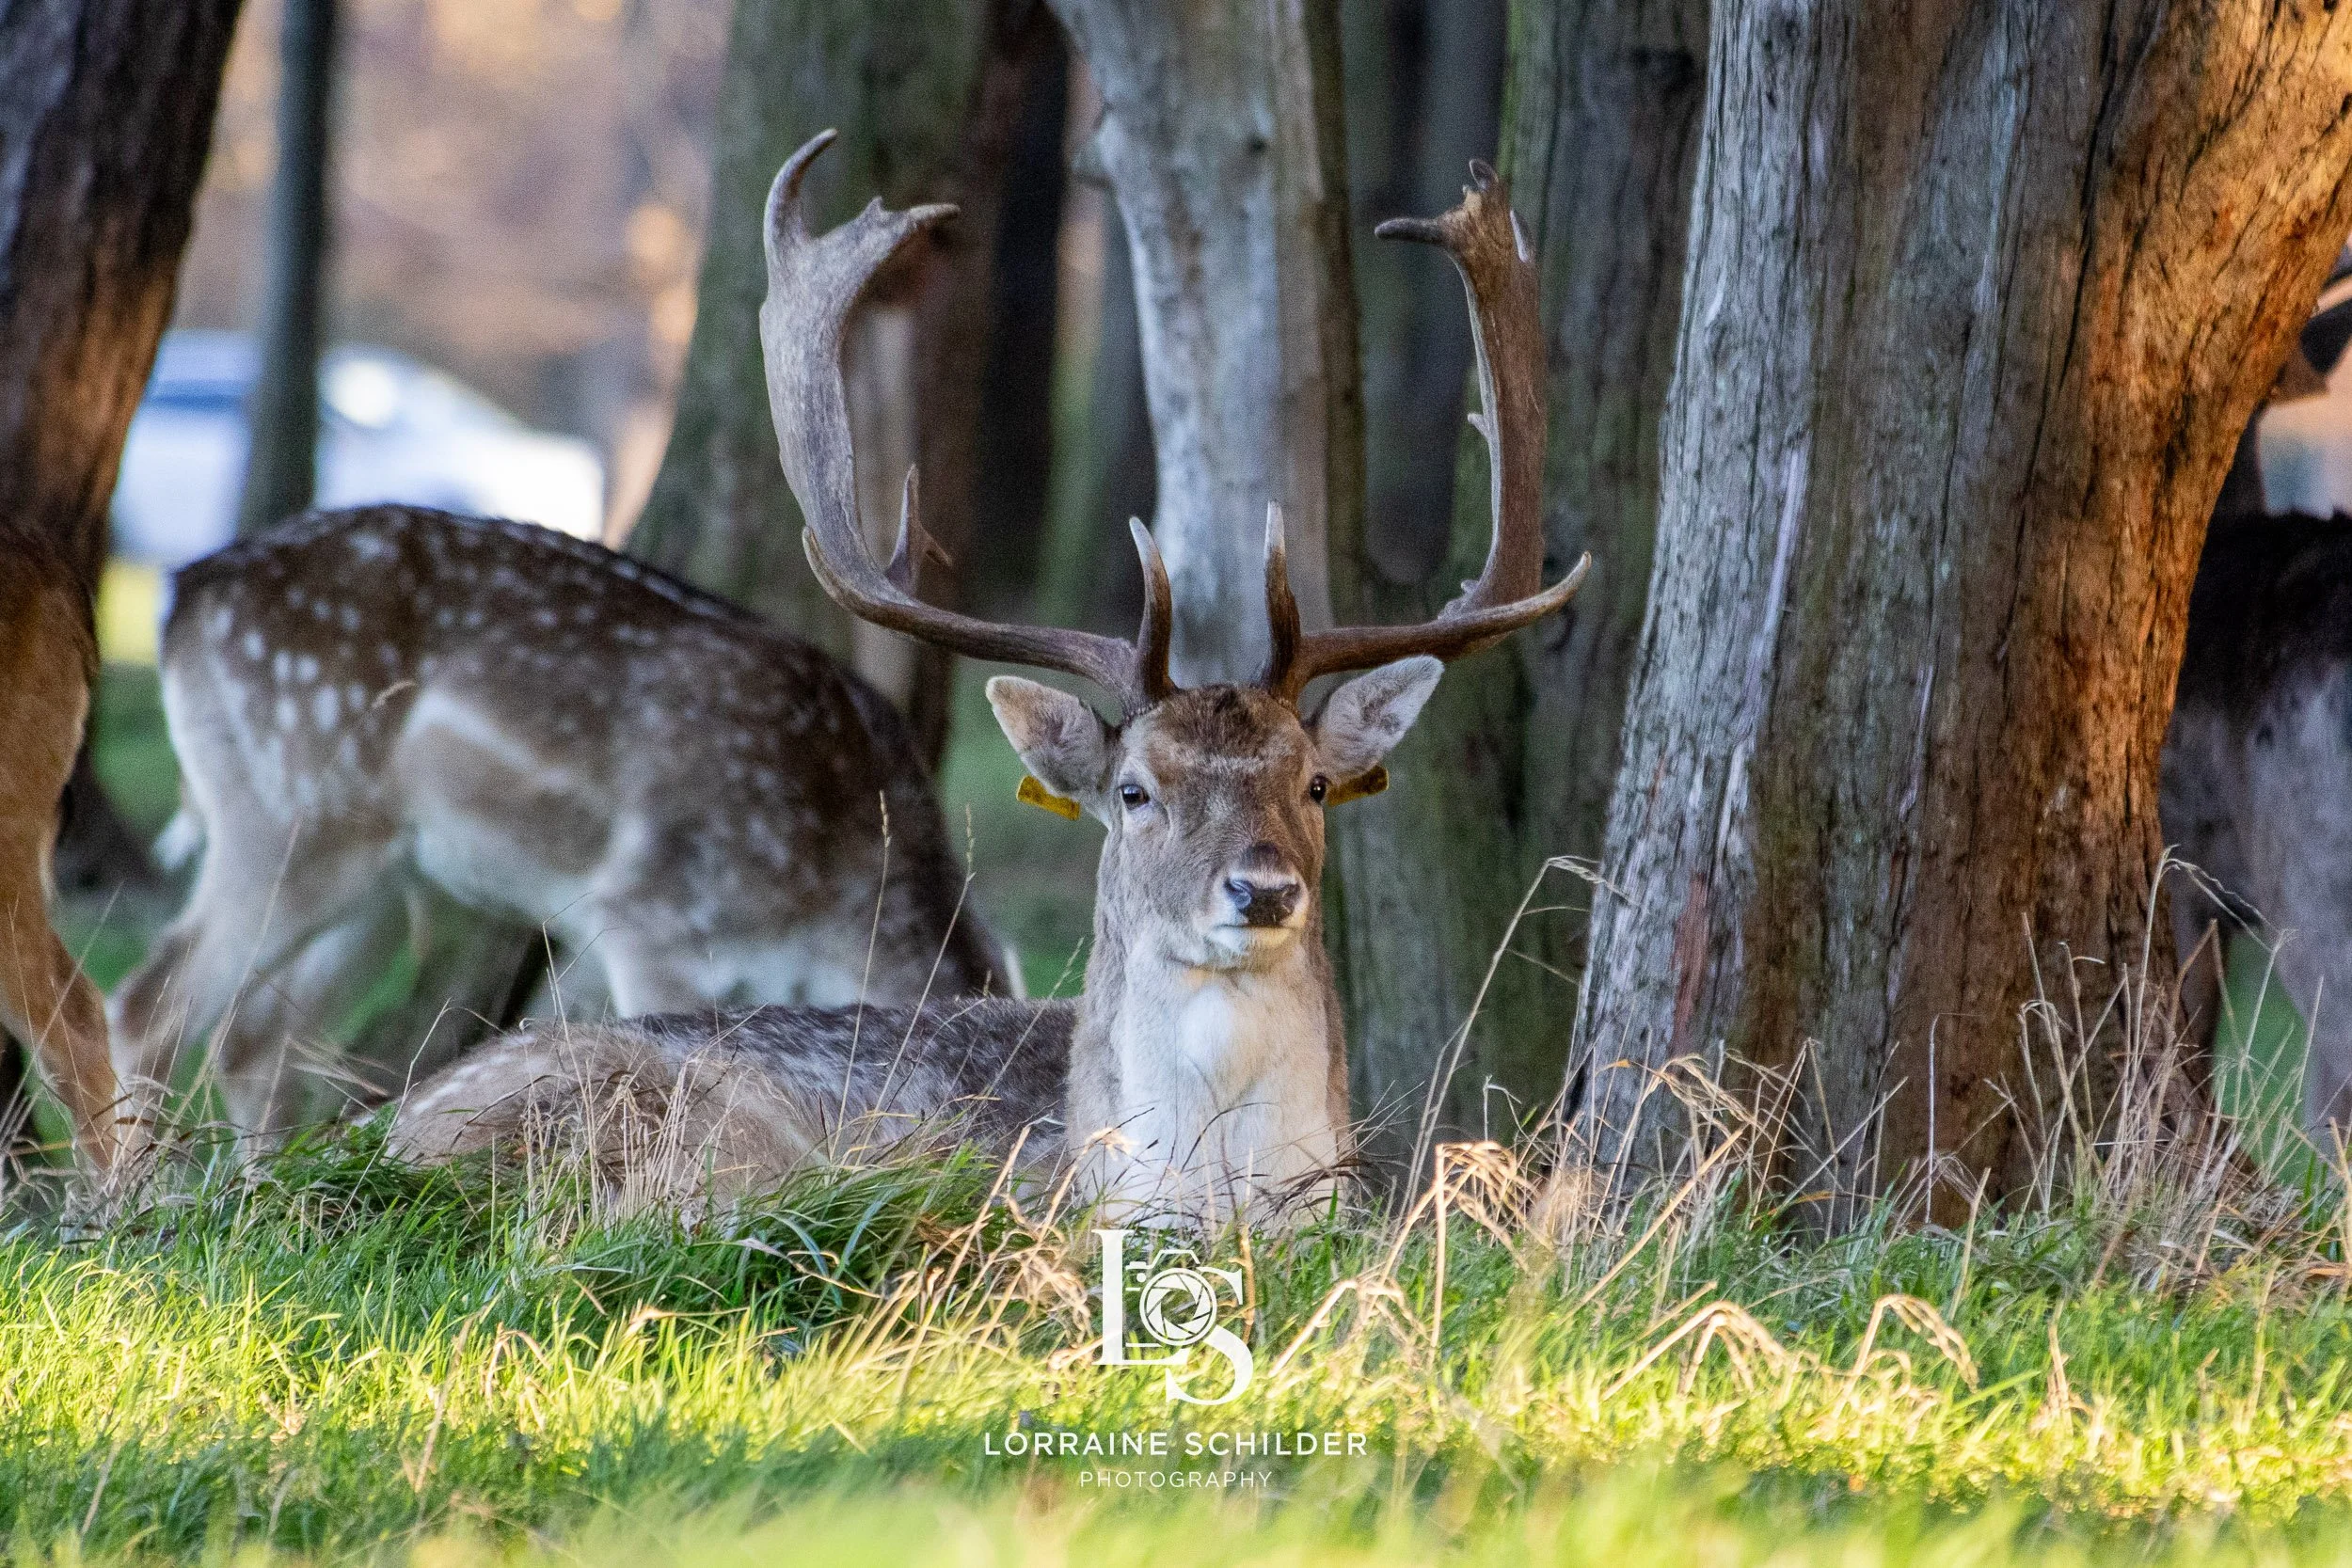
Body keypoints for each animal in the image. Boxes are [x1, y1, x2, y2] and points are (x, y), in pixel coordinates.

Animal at [109, 500, 1019, 1145]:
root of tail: (181, 598)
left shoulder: (586, 933)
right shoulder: (652, 913)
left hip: (387, 872)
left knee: (253, 1036)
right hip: (289, 812)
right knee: (147, 1003)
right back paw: (132, 1215)